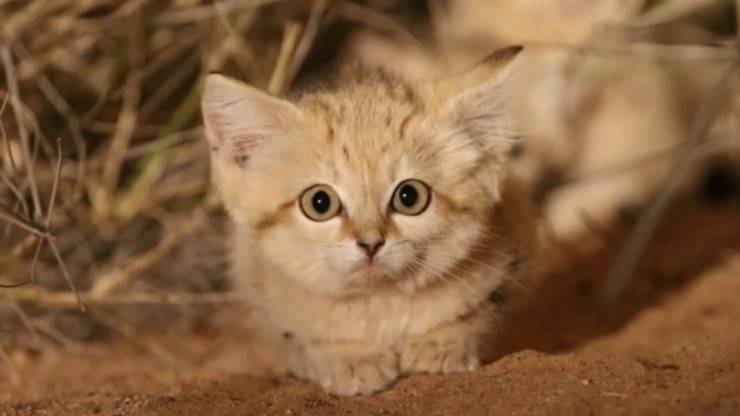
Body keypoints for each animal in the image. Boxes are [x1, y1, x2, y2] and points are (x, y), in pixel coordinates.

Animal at [202, 47, 536, 394]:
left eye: (409, 197)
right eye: (319, 202)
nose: (371, 243)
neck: (380, 303)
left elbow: (479, 315)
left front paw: (442, 344)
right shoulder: (259, 294)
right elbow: (304, 340)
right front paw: (350, 357)